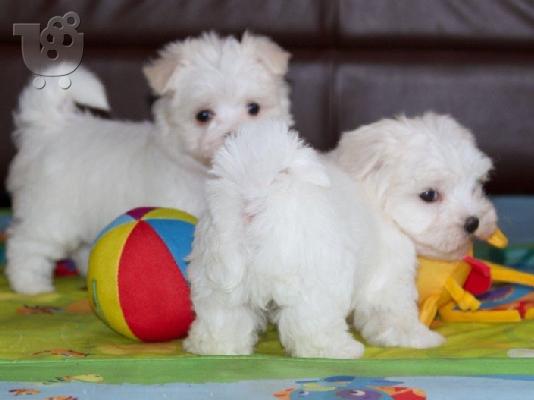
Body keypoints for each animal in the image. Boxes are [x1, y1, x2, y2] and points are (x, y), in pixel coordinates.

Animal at [6, 31, 294, 294]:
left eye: (254, 108)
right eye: (203, 115)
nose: (235, 134)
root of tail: (51, 126)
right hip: (50, 211)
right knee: (26, 243)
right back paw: (31, 285)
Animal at [185, 113, 498, 360]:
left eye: (476, 186)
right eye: (429, 195)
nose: (473, 222)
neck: (377, 196)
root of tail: (258, 196)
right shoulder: (389, 275)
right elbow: (393, 312)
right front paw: (420, 338)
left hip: (217, 276)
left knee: (223, 316)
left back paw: (216, 347)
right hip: (315, 281)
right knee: (312, 327)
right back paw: (339, 349)